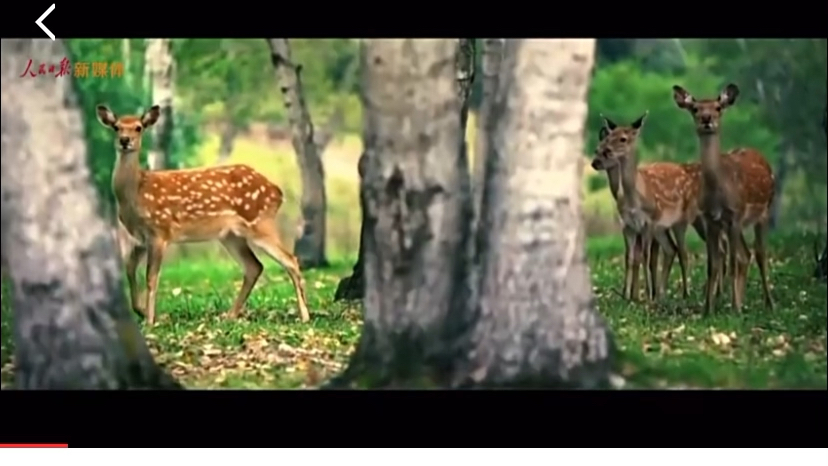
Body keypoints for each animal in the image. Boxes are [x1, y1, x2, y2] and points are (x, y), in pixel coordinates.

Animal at [96, 104, 310, 326]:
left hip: (259, 222)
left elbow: (151, 277)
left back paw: (304, 316)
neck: (136, 192)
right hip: (230, 235)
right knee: (254, 267)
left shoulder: (160, 231)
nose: (125, 140)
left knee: (290, 260)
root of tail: (277, 192)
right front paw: (141, 311)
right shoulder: (140, 237)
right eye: (116, 127)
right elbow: (129, 268)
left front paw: (150, 321)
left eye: (138, 127)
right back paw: (230, 316)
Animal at [596, 114, 724, 300]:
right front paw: (628, 296)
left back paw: (688, 293)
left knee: (685, 252)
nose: (597, 160)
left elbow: (646, 256)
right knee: (680, 249)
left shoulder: (649, 222)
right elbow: (630, 257)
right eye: (600, 146)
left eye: (623, 138)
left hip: (683, 221)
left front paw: (645, 294)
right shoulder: (628, 225)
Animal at [672, 83, 776, 314]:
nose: (706, 118)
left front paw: (733, 309)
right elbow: (713, 265)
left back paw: (768, 303)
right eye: (695, 108)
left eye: (718, 107)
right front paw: (707, 310)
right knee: (746, 255)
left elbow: (731, 265)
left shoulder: (735, 215)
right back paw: (742, 301)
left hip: (764, 211)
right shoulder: (711, 219)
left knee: (760, 254)